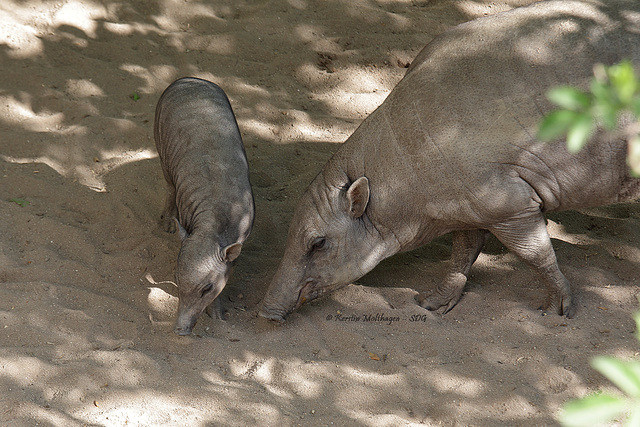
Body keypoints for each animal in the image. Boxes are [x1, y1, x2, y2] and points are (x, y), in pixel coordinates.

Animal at [155, 77, 255, 338]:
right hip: (161, 145)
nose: (180, 330)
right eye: (176, 278)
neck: (212, 223)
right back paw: (167, 224)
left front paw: (217, 315)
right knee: (169, 185)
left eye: (207, 288)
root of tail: (188, 79)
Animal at [258, 0, 640, 320]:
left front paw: (556, 309)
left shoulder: (511, 205)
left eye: (318, 243)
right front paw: (434, 303)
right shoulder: (469, 208)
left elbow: (537, 255)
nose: (265, 312)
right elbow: (463, 253)